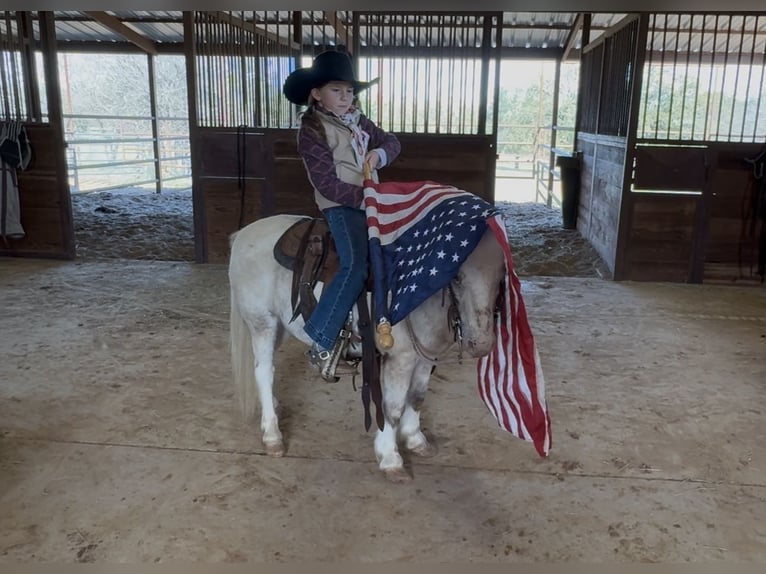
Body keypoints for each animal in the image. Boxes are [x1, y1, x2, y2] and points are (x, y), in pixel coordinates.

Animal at [228, 213, 507, 482]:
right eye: (457, 276)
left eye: (501, 275)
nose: (481, 343)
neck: (414, 292)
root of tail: (242, 234)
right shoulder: (400, 360)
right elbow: (392, 408)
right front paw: (390, 459)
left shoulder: (426, 357)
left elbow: (417, 397)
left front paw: (416, 440)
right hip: (262, 322)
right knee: (264, 371)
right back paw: (272, 435)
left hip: (280, 327)